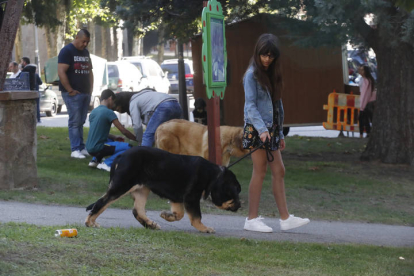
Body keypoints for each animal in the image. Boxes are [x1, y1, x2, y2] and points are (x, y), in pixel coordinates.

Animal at [84, 147, 241, 233]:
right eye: (235, 193)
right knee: (101, 202)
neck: (213, 176)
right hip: (122, 185)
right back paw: (90, 223)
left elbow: (180, 215)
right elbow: (196, 217)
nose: (239, 206)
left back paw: (151, 225)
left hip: (142, 189)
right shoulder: (191, 197)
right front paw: (205, 228)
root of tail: (120, 155)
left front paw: (167, 216)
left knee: (137, 210)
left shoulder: (178, 198)